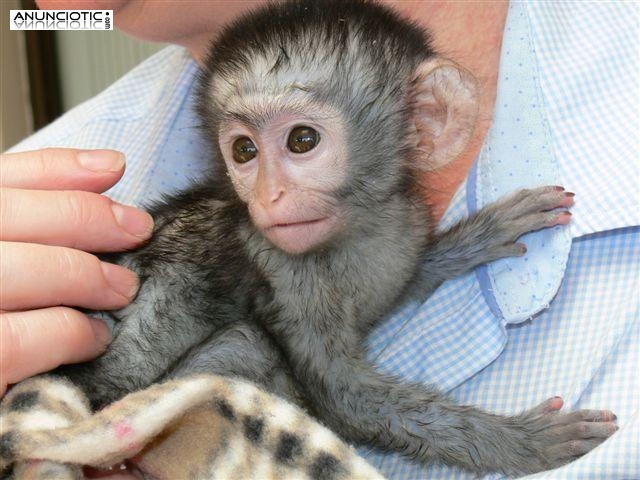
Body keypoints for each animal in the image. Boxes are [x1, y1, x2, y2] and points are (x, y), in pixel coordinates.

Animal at [60, 0, 616, 476]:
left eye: (302, 140)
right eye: (243, 151)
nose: (269, 197)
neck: (354, 230)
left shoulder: (400, 225)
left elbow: (396, 287)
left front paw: (477, 236)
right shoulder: (279, 263)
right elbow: (346, 396)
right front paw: (521, 442)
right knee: (247, 348)